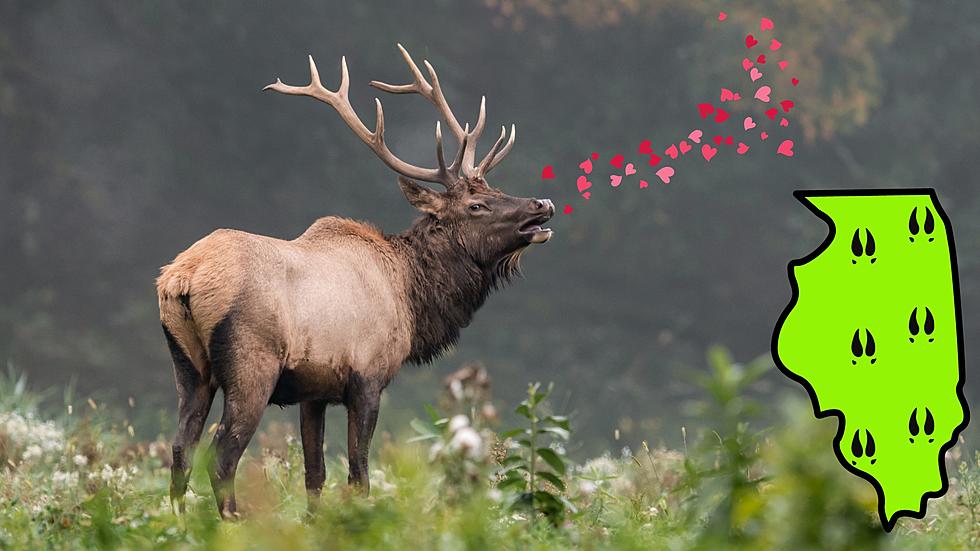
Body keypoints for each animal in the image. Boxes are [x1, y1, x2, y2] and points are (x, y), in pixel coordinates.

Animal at [153, 44, 552, 516]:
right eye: (476, 204)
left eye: (496, 189)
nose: (542, 204)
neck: (411, 298)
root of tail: (182, 279)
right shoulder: (367, 377)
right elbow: (359, 474)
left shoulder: (313, 391)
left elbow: (315, 475)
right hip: (252, 364)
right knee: (221, 456)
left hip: (189, 368)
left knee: (180, 451)